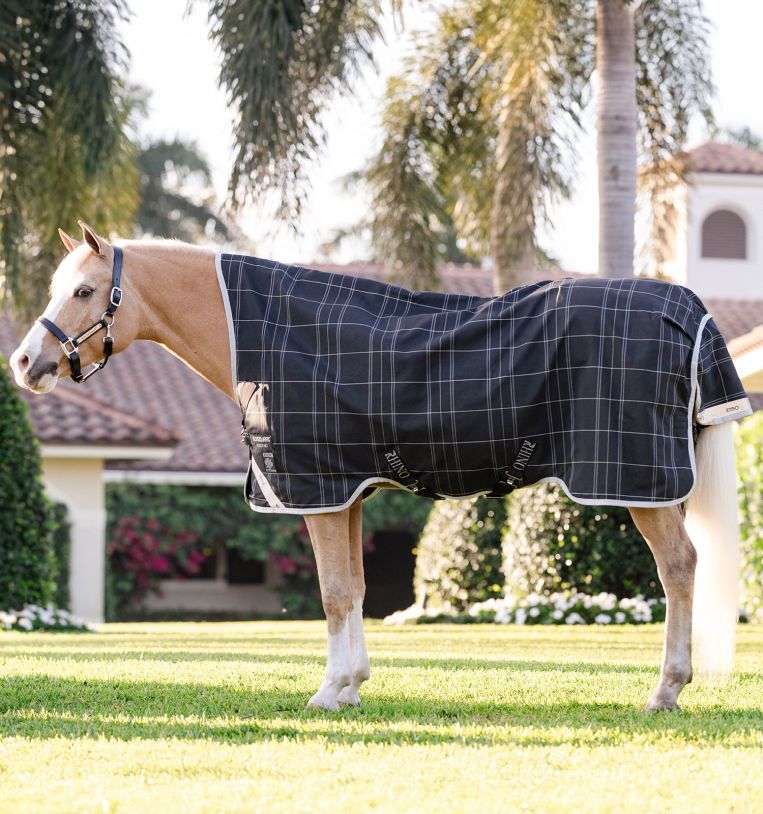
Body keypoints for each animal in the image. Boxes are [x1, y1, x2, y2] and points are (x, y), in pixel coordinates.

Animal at [9, 221, 747, 713]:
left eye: (84, 291)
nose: (23, 362)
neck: (266, 335)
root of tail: (685, 309)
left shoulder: (315, 490)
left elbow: (334, 592)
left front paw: (329, 692)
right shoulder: (349, 493)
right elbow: (355, 588)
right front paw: (351, 686)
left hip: (641, 483)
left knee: (678, 566)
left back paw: (665, 690)